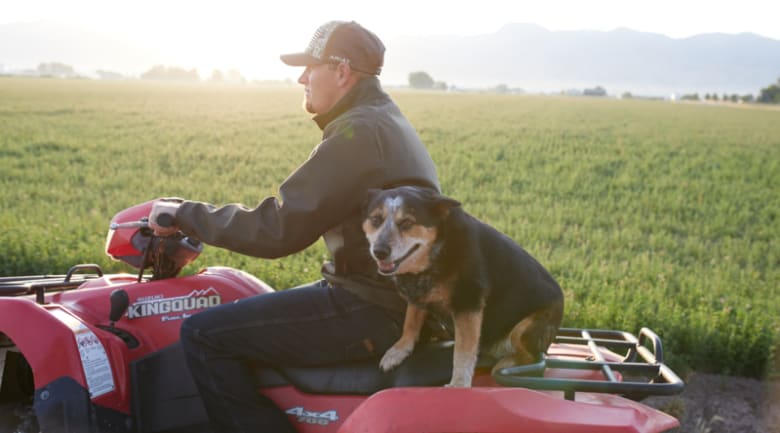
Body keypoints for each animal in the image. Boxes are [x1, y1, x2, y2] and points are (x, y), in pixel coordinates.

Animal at [362, 185, 564, 384]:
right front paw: (397, 352)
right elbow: (410, 324)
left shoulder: (468, 304)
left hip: (526, 327)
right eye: (376, 220)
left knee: (531, 356)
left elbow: (463, 352)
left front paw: (458, 384)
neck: (438, 250)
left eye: (406, 223)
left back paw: (504, 365)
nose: (379, 251)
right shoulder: (417, 295)